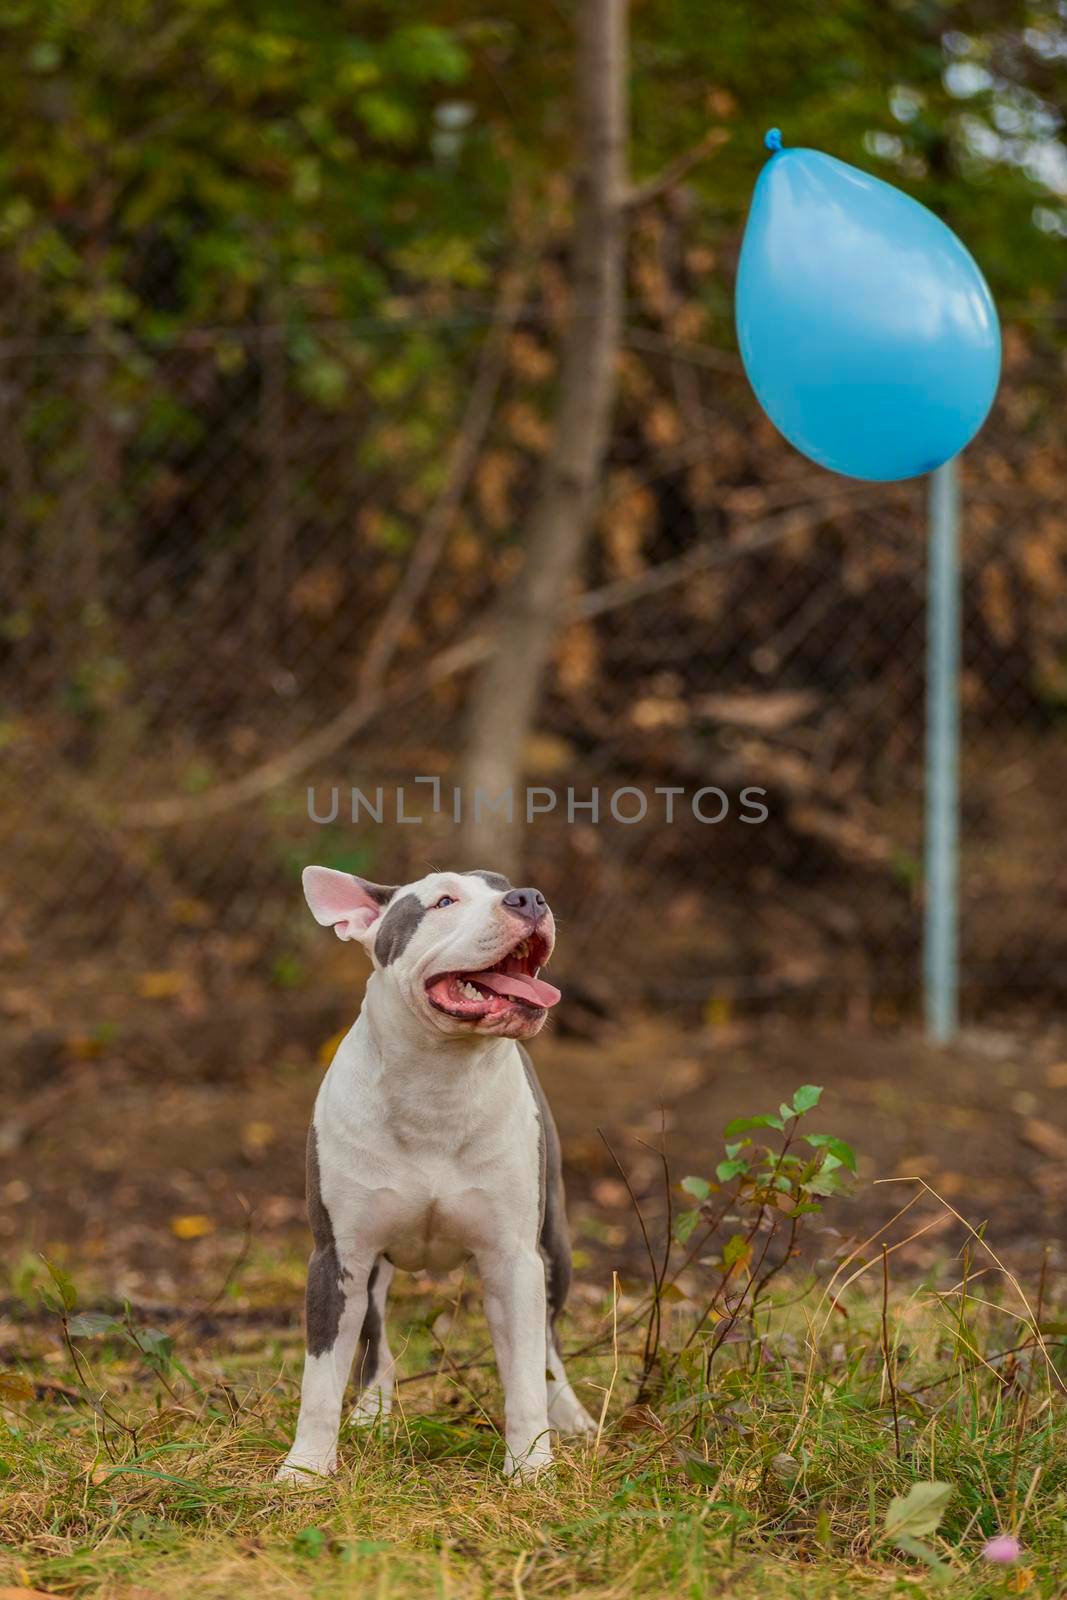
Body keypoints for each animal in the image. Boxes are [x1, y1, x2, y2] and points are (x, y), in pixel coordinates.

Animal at [279, 870, 598, 1478]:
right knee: (375, 1337)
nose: (529, 898)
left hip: (555, 1245)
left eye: (504, 886)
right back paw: (372, 1413)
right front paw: (304, 1470)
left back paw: (569, 1414)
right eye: (444, 901)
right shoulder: (337, 1257)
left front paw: (531, 1466)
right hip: (373, 1268)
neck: (438, 1083)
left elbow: (524, 1372)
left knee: (548, 1341)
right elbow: (321, 1378)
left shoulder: (514, 1257)